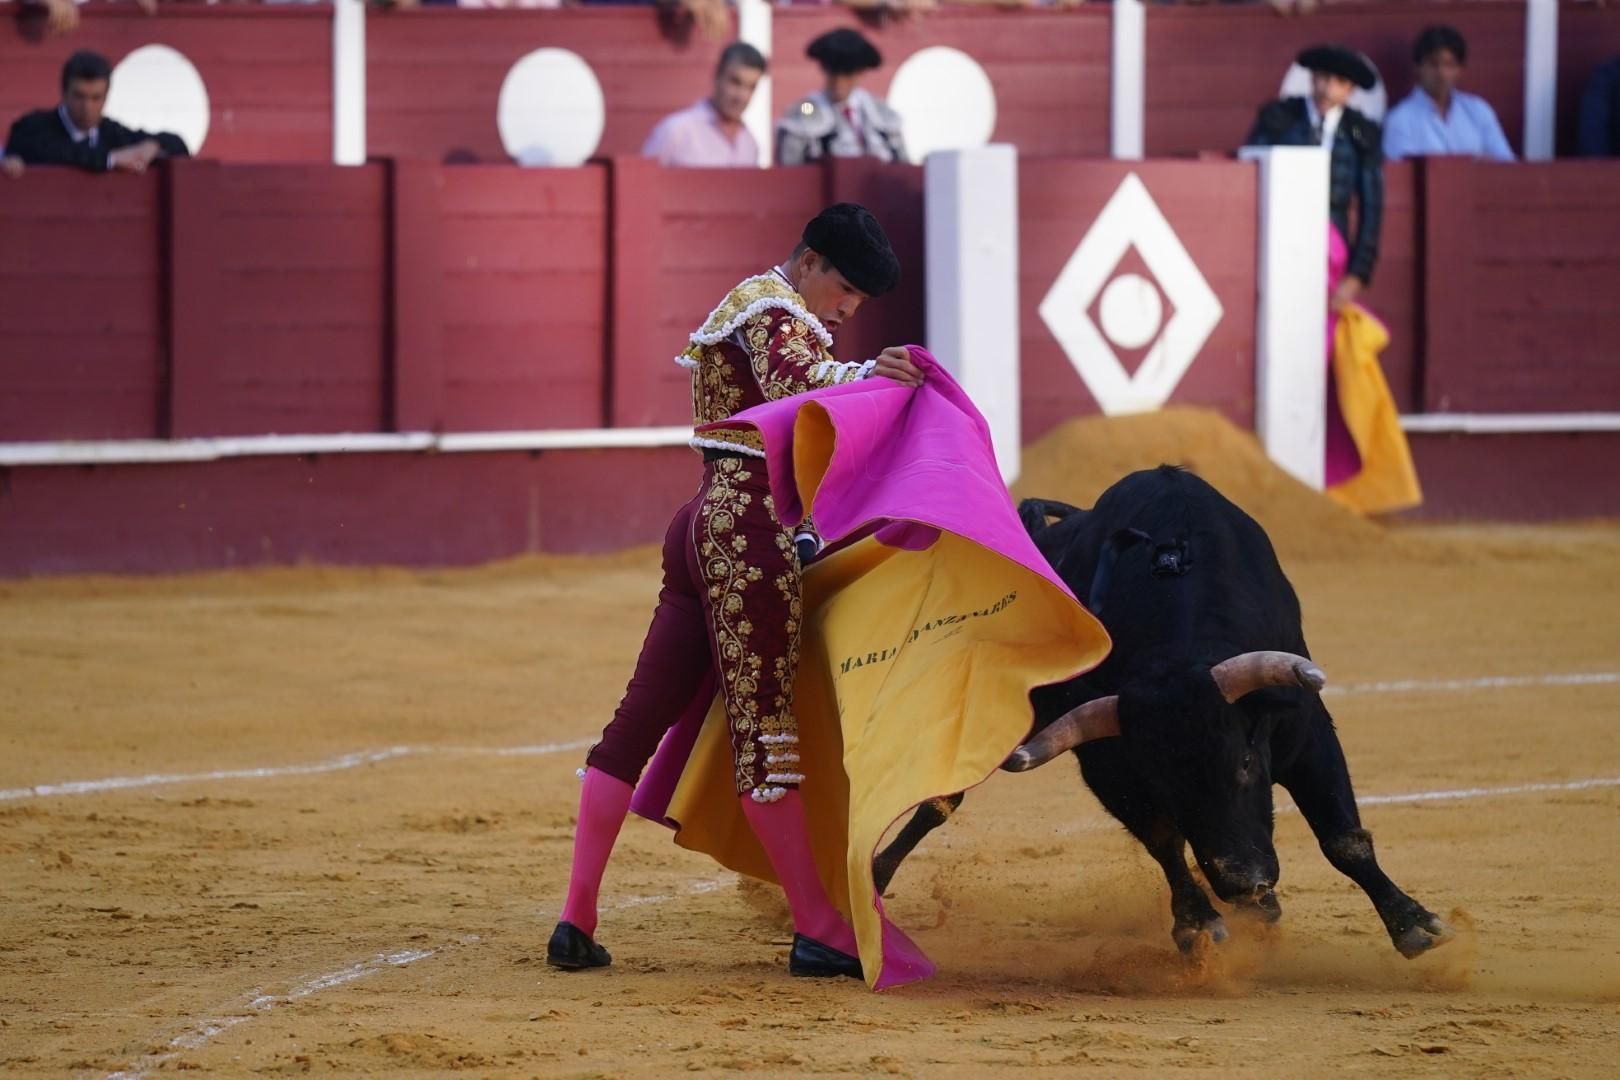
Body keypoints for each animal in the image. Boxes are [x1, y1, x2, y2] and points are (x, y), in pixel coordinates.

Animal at [874, 469, 1458, 958]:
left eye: (1246, 764)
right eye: (1166, 784)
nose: (1244, 880)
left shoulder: (1306, 728)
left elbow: (1343, 837)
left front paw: (1414, 923)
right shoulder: (1109, 760)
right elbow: (1164, 840)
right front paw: (1198, 923)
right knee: (941, 799)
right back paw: (875, 879)